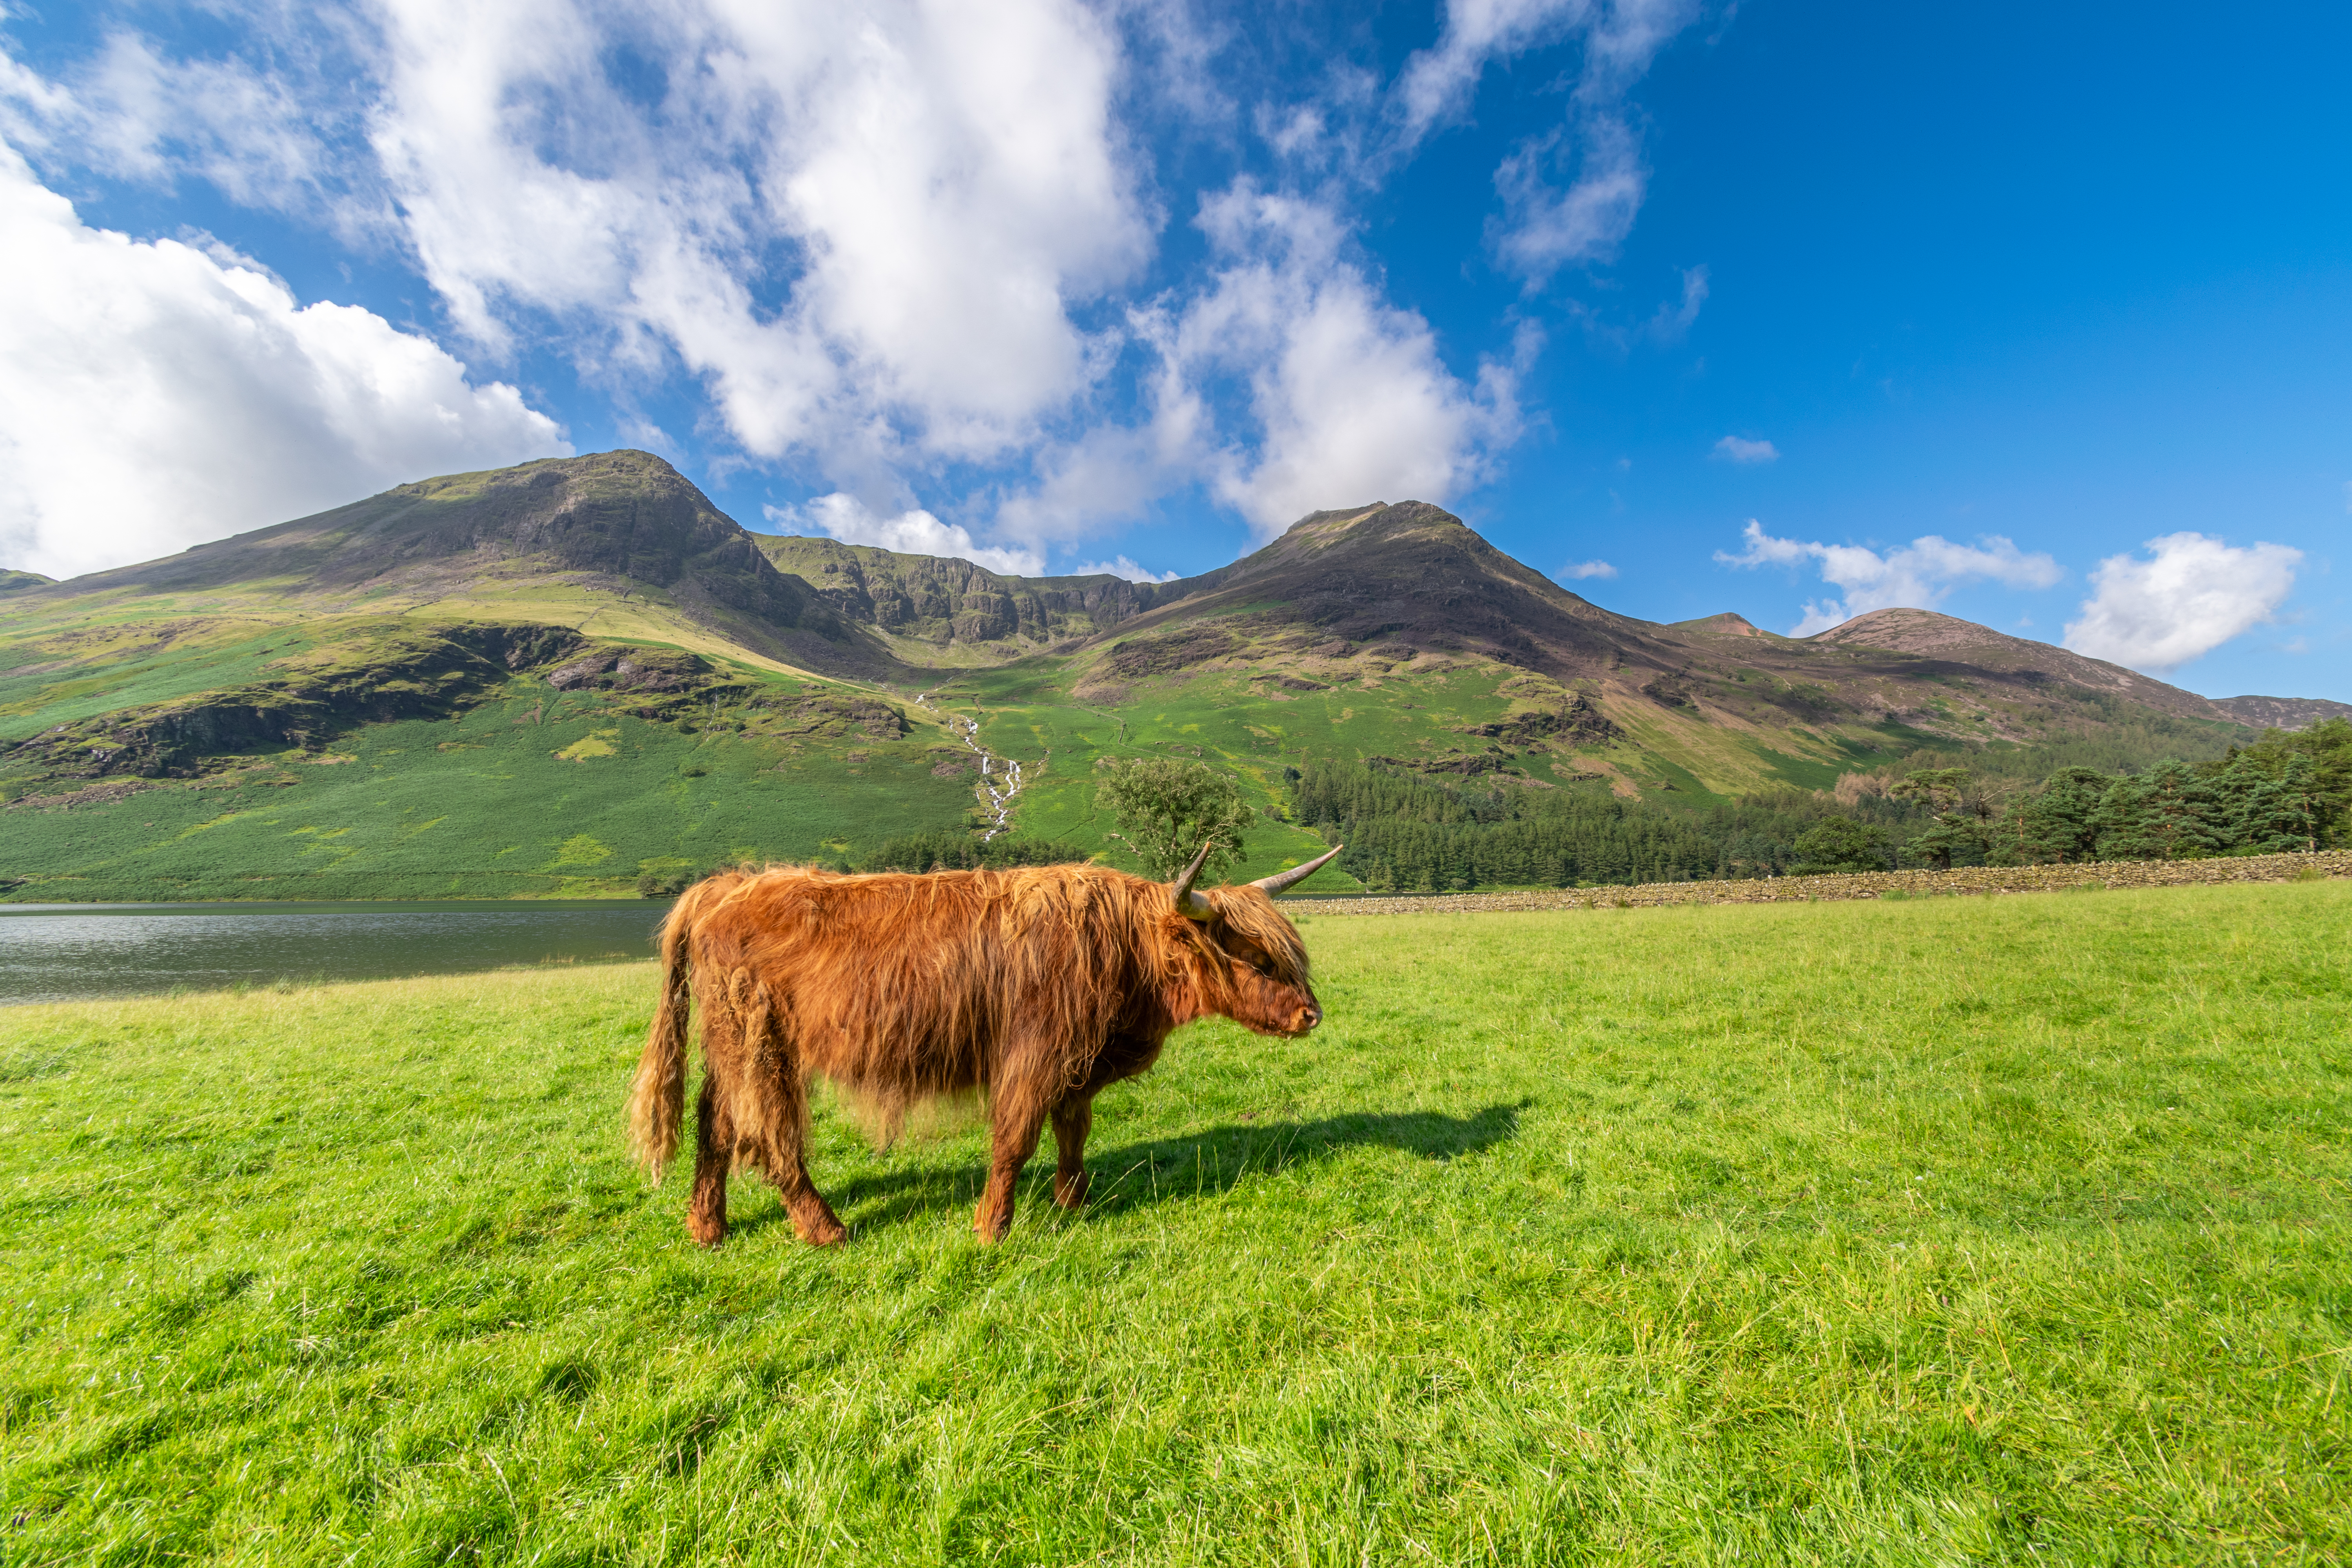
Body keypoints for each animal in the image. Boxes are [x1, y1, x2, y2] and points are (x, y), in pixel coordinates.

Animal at [626, 841, 1346, 1246]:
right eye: (1259, 960)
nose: (1311, 1015)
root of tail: (722, 887)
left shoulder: (1077, 1059)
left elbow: (1074, 1129)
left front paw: (1072, 1200)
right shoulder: (1035, 1051)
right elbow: (1016, 1139)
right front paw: (991, 1229)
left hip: (731, 1046)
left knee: (715, 1123)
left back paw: (707, 1229)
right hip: (761, 1042)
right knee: (768, 1136)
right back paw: (825, 1229)